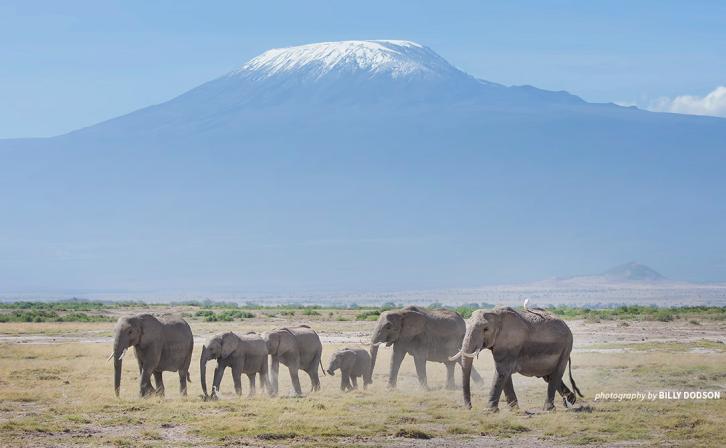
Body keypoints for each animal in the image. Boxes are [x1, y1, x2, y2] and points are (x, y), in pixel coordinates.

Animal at [456, 306, 584, 412]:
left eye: (485, 329)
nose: (470, 408)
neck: (496, 313)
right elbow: (504, 373)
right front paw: (514, 410)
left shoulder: (510, 343)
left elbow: (502, 371)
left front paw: (489, 411)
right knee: (549, 376)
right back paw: (570, 400)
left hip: (566, 348)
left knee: (556, 374)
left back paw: (549, 409)